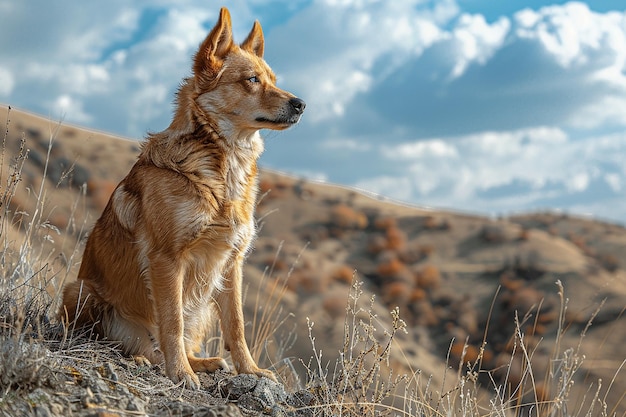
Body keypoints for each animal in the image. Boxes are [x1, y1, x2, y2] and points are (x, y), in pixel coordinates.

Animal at [59, 8, 304, 388]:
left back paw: (201, 362)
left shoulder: (231, 263)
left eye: (273, 79)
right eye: (251, 80)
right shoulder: (167, 259)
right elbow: (171, 321)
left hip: (201, 308)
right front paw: (180, 374)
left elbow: (236, 325)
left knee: (170, 341)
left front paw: (249, 370)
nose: (301, 104)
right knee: (121, 340)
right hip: (79, 290)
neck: (221, 166)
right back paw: (142, 359)